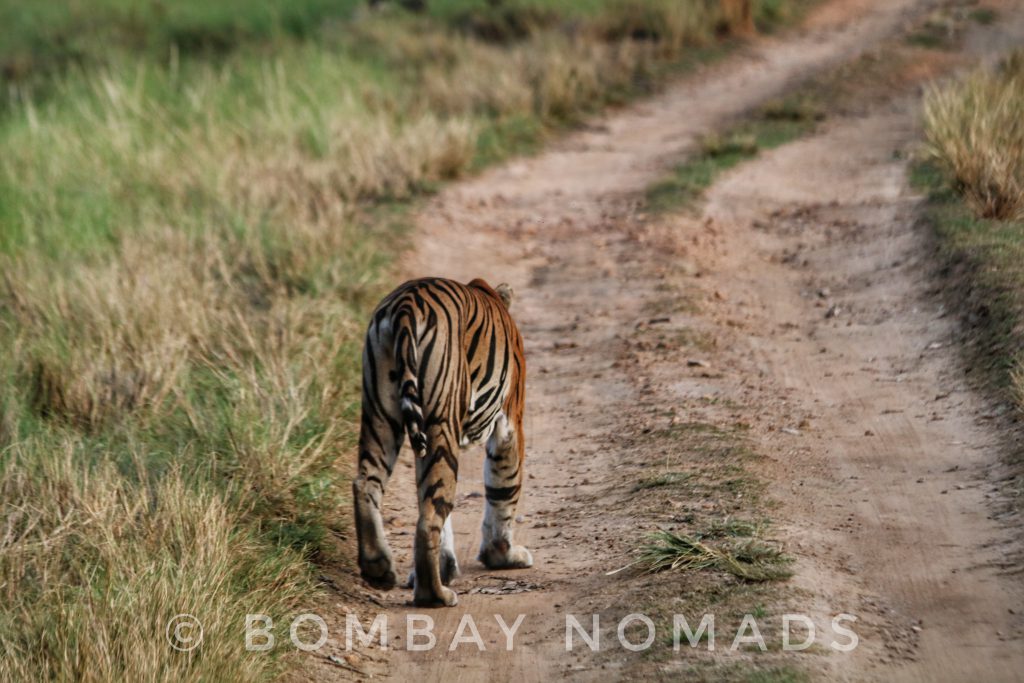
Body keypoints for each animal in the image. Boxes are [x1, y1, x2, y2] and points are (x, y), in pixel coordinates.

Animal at [352, 274, 532, 606]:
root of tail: (406, 304)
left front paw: (446, 566)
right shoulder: (511, 421)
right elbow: (504, 488)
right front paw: (503, 556)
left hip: (379, 414)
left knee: (366, 484)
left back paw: (378, 568)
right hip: (441, 417)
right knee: (431, 515)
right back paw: (434, 595)